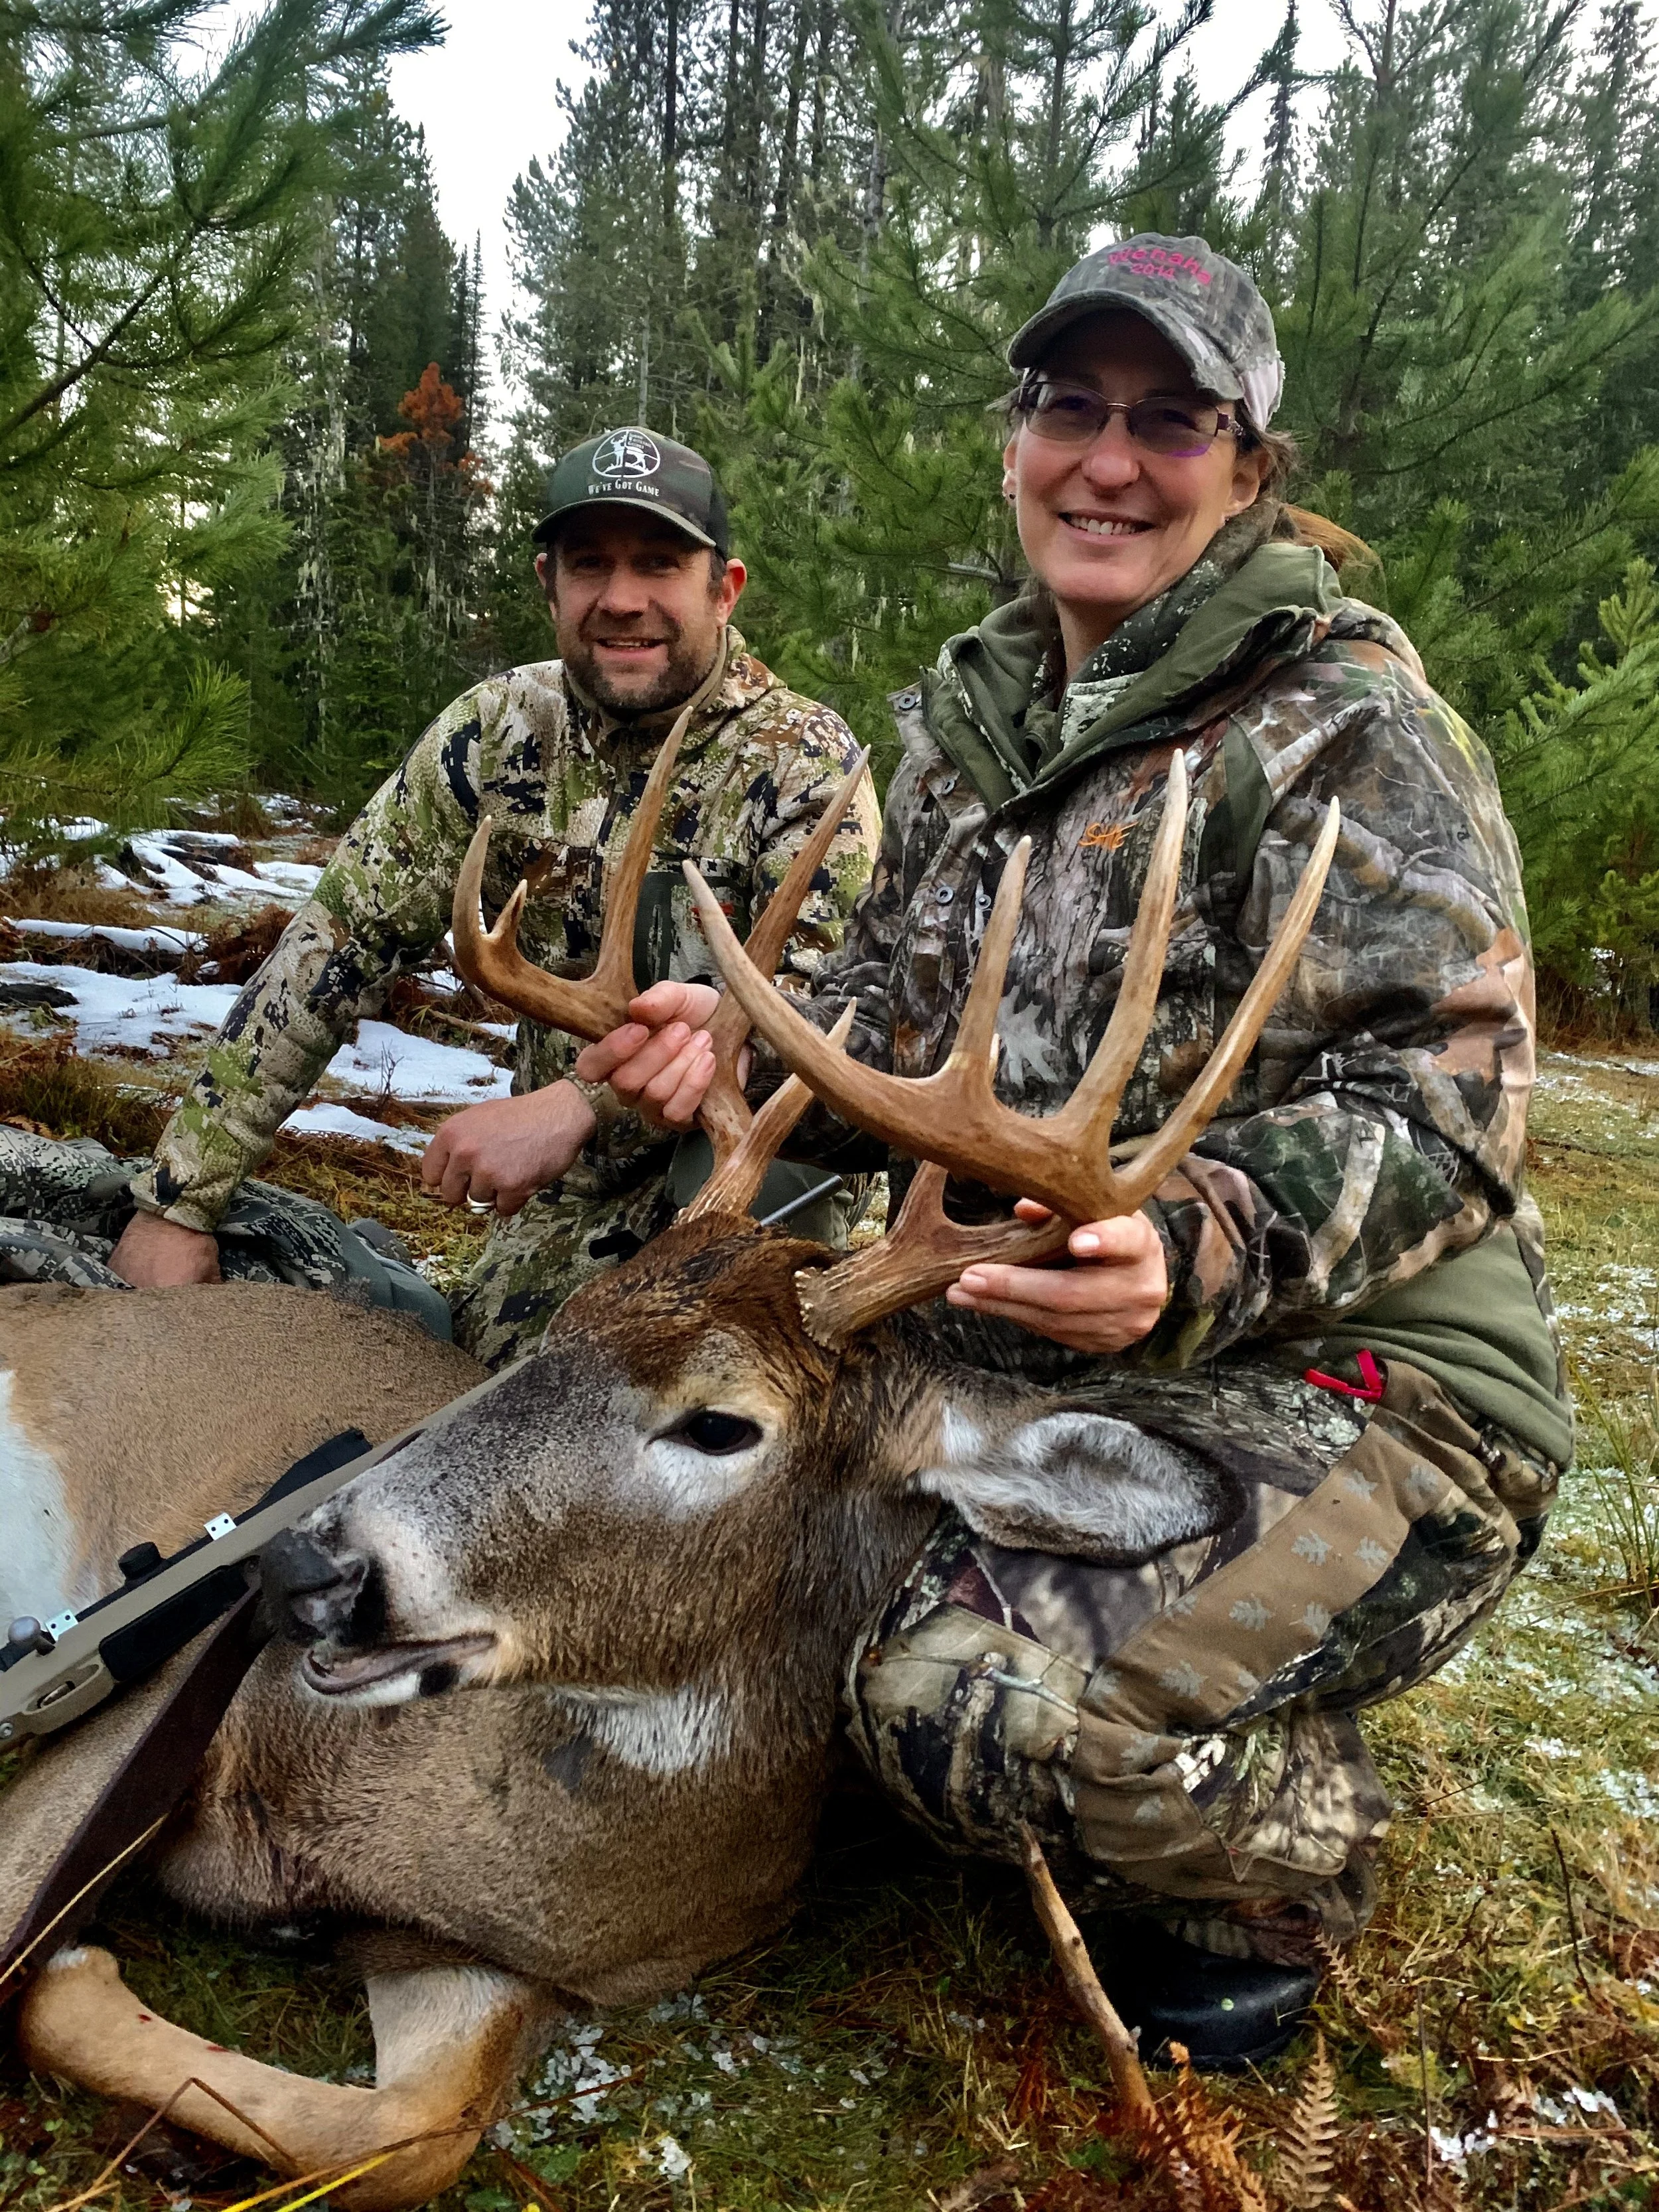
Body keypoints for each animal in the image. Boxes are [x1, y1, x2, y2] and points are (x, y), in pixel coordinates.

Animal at [1, 715, 1338, 2210]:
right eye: (557, 1332)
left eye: (718, 1421)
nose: (307, 1567)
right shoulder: (129, 1720)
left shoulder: (479, 1961)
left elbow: (403, 2132)